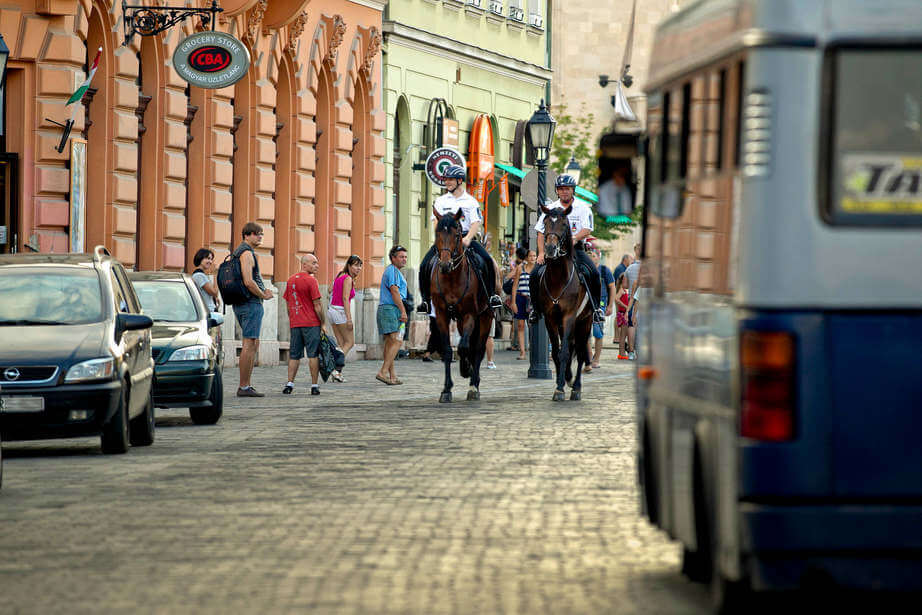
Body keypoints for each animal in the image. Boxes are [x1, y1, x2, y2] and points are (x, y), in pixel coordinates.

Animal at [428, 209, 492, 404]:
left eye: (457, 235)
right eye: (437, 233)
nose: (445, 264)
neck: (452, 277)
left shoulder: (470, 314)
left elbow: (464, 347)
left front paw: (466, 371)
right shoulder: (441, 314)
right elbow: (448, 350)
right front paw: (446, 389)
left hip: (485, 317)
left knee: (478, 349)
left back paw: (474, 384)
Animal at [532, 205, 588, 402]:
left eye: (564, 224)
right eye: (545, 222)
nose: (549, 248)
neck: (558, 278)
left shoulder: (569, 316)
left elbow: (564, 353)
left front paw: (562, 388)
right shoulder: (550, 319)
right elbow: (557, 352)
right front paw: (560, 384)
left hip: (584, 322)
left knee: (581, 352)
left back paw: (577, 387)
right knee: (571, 347)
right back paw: (569, 378)